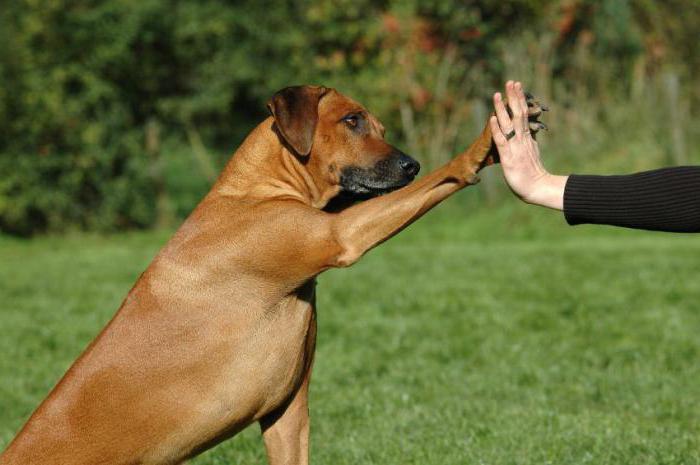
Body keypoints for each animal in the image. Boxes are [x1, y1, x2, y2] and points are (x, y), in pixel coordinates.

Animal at [0, 85, 548, 462]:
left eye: (382, 128)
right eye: (352, 121)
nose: (410, 164)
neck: (257, 190)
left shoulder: (287, 413)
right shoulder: (340, 235)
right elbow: (439, 179)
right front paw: (485, 144)